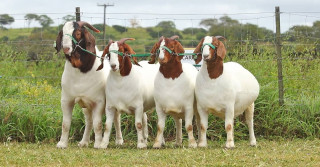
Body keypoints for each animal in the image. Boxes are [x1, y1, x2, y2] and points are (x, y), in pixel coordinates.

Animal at [54, 21, 110, 149]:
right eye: (63, 33)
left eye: (78, 33)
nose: (66, 48)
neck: (83, 70)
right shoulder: (66, 100)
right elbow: (65, 123)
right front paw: (62, 143)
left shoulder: (99, 102)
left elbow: (98, 124)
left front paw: (98, 144)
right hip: (86, 107)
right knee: (89, 122)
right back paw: (84, 142)